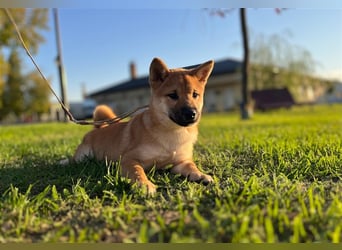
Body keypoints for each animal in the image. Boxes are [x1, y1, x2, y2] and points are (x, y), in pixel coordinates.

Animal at [69, 57, 214, 194]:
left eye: (195, 94)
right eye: (173, 95)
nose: (192, 113)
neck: (173, 133)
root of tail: (99, 128)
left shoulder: (181, 162)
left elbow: (191, 166)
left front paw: (201, 174)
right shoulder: (129, 159)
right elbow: (137, 171)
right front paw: (144, 184)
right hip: (83, 156)